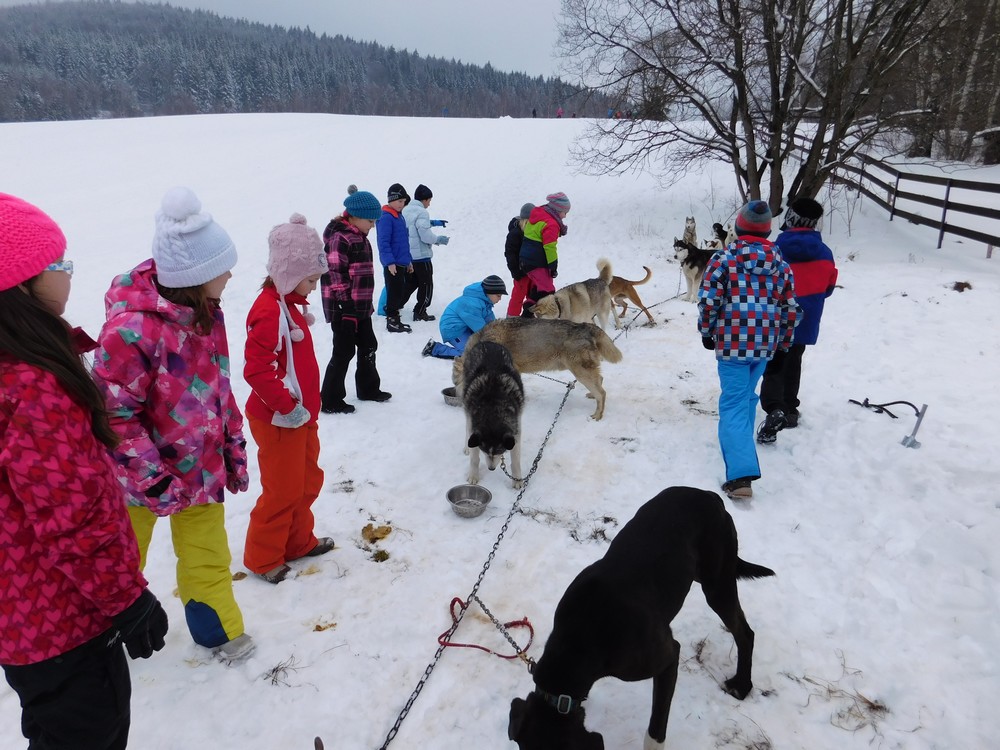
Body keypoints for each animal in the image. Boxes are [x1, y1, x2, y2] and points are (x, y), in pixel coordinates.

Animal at [453, 318, 623, 421]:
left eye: (455, 382)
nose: (458, 397)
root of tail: (586, 325)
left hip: (580, 373)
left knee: (602, 392)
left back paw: (597, 415)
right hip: (584, 373)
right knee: (600, 382)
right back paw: (592, 397)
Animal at [460, 341, 525, 489]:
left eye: (499, 451)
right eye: (484, 450)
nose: (491, 469)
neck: (493, 411)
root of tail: (486, 342)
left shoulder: (516, 431)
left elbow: (516, 460)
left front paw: (517, 479)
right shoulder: (474, 427)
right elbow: (474, 458)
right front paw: (473, 475)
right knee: (466, 428)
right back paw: (466, 446)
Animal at [508, 486, 775, 750]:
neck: (579, 636)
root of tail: (710, 495)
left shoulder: (668, 658)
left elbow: (656, 728)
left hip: (717, 584)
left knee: (744, 632)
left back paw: (741, 686)